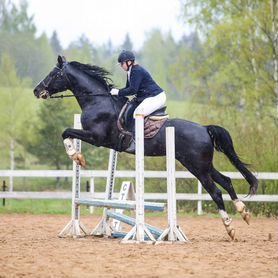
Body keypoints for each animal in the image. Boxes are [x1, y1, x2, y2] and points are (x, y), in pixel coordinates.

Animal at [34, 55, 258, 240]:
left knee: (216, 192)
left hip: (197, 167)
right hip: (201, 164)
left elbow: (66, 132)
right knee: (227, 181)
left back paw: (230, 227)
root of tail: (204, 128)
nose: (37, 90)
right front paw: (77, 156)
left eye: (54, 74)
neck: (97, 101)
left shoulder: (96, 137)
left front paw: (76, 156)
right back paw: (244, 212)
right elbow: (67, 132)